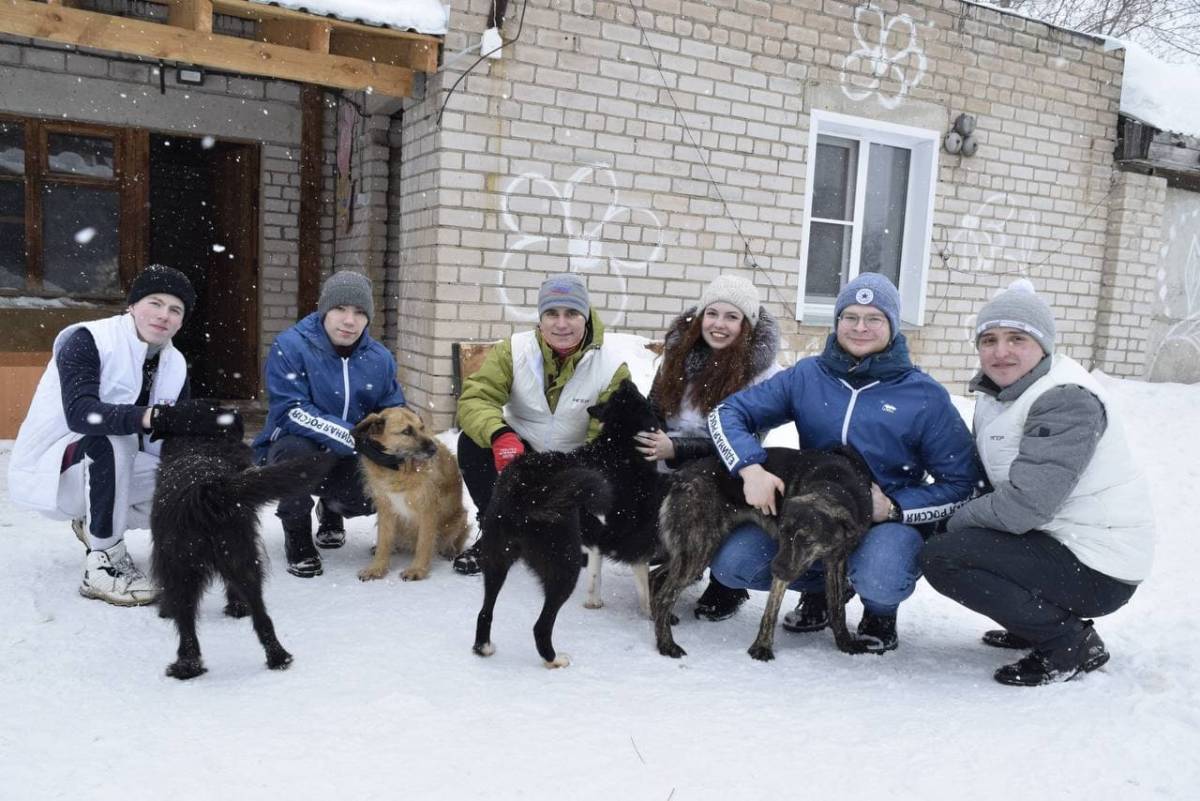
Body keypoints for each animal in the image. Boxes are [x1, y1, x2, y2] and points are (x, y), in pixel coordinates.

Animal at [153, 402, 338, 681]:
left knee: (186, 625)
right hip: (241, 557)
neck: (199, 444)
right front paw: (237, 606)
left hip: (181, 566)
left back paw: (185, 666)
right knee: (262, 616)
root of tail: (207, 490)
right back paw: (277, 657)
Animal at [350, 407, 468, 582]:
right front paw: (377, 568)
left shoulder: (428, 509)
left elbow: (424, 544)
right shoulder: (385, 507)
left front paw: (417, 570)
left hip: (459, 518)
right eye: (406, 431)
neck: (399, 469)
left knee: (456, 537)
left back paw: (449, 550)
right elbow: (384, 541)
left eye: (422, 428)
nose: (433, 450)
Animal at [472, 378, 667, 666]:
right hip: (564, 563)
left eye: (618, 396)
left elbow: (596, 574)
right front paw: (650, 613)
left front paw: (594, 601)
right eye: (629, 394)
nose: (624, 380)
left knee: (485, 611)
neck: (619, 444)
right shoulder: (634, 539)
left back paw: (484, 647)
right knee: (541, 626)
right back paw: (554, 659)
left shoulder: (597, 538)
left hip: (497, 559)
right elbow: (643, 583)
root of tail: (525, 491)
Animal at [657, 448, 873, 661]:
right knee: (664, 596)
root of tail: (683, 475)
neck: (834, 486)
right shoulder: (785, 566)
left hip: (694, 549)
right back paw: (666, 644)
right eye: (783, 533)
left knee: (656, 575)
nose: (774, 570)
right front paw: (762, 647)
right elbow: (771, 612)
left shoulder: (836, 561)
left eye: (808, 541)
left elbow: (837, 609)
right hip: (699, 548)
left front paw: (845, 643)